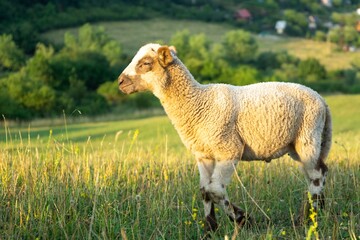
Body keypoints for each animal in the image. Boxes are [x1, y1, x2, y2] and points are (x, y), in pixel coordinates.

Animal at [118, 42, 332, 232]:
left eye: (145, 63)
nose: (120, 82)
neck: (198, 103)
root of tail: (322, 100)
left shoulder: (229, 150)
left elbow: (215, 190)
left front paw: (243, 219)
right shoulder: (203, 154)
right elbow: (204, 191)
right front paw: (210, 229)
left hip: (308, 136)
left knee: (316, 174)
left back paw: (309, 218)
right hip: (298, 144)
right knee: (316, 172)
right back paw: (312, 212)